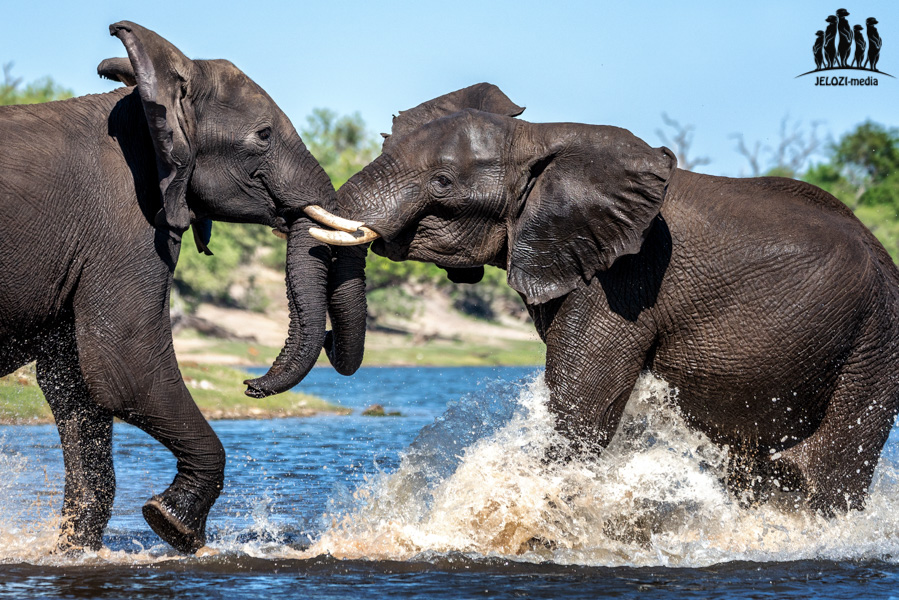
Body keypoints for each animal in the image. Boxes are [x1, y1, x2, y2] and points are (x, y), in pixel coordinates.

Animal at [0, 21, 370, 556]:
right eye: (263, 136)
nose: (249, 385)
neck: (148, 102)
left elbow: (75, 384)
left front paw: (76, 553)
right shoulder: (126, 223)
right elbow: (123, 367)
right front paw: (172, 525)